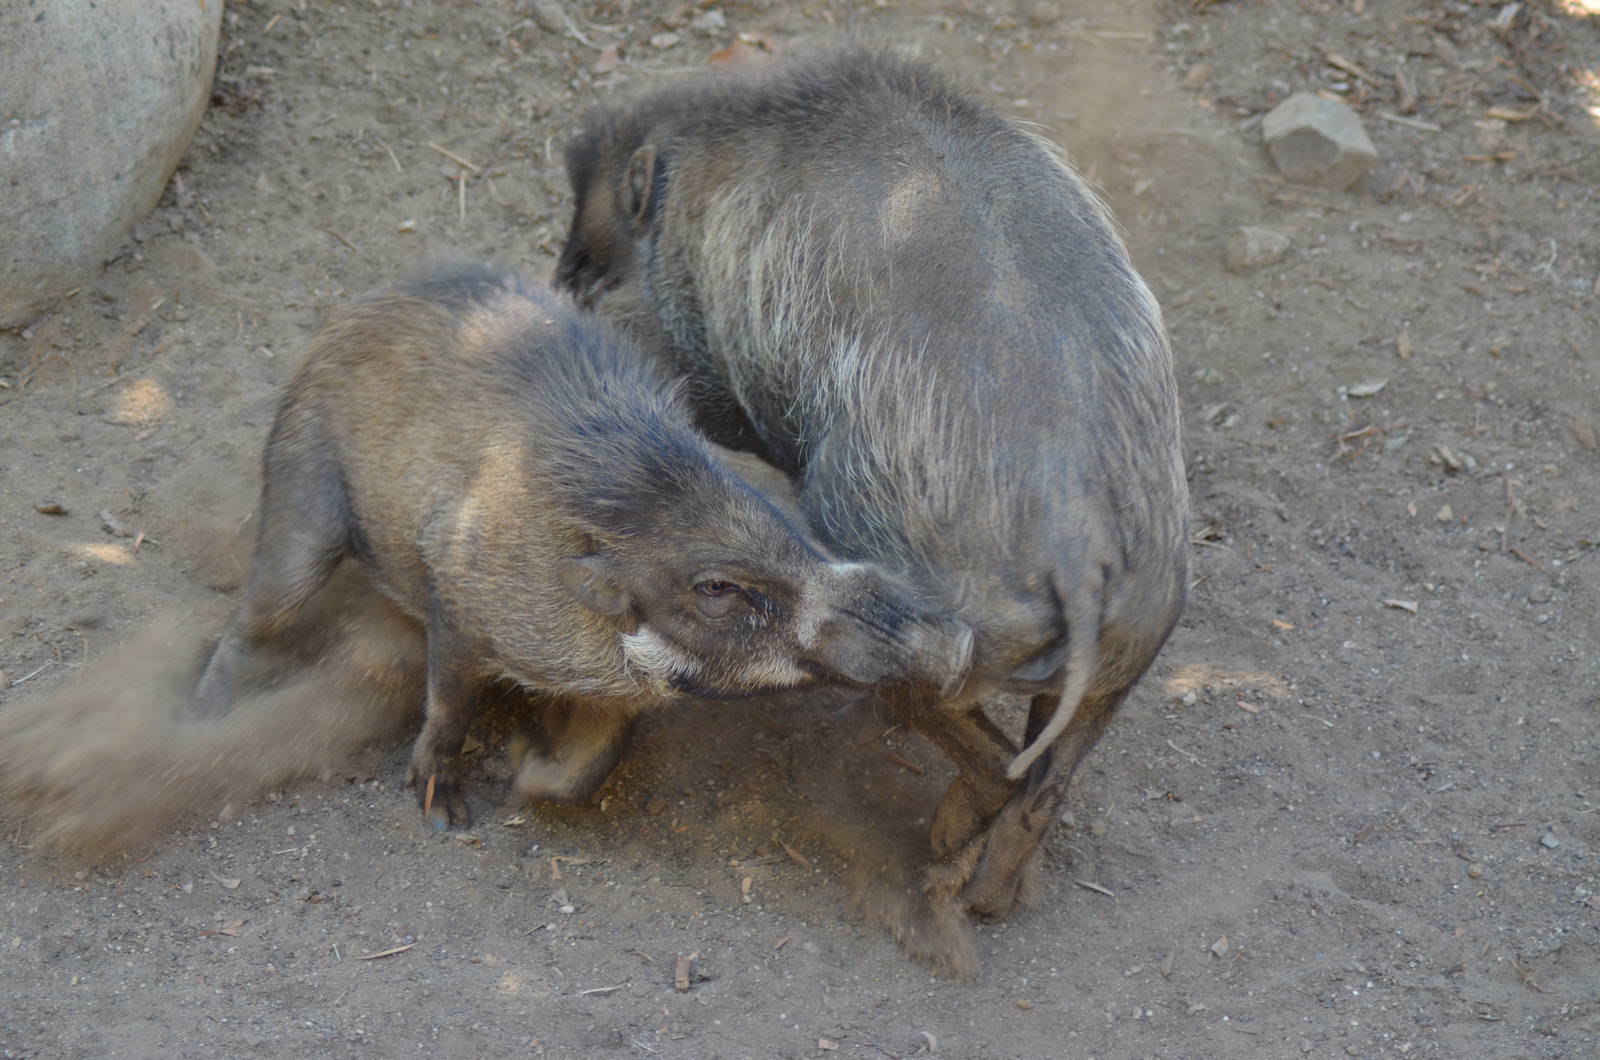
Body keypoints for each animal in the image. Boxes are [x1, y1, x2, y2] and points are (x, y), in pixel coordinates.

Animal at [190, 264, 973, 829]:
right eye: (715, 589)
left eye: (792, 528)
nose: (958, 640)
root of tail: (351, 311)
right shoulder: (457, 600)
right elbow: (447, 709)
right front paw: (448, 815)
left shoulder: (621, 697)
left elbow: (584, 770)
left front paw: (524, 765)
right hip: (303, 499)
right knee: (253, 618)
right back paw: (203, 718)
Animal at [556, 46, 1188, 965]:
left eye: (591, 266)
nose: (560, 291)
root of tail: (1079, 546)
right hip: (1128, 650)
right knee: (1038, 781)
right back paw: (988, 898)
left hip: (919, 641)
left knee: (991, 759)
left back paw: (944, 866)